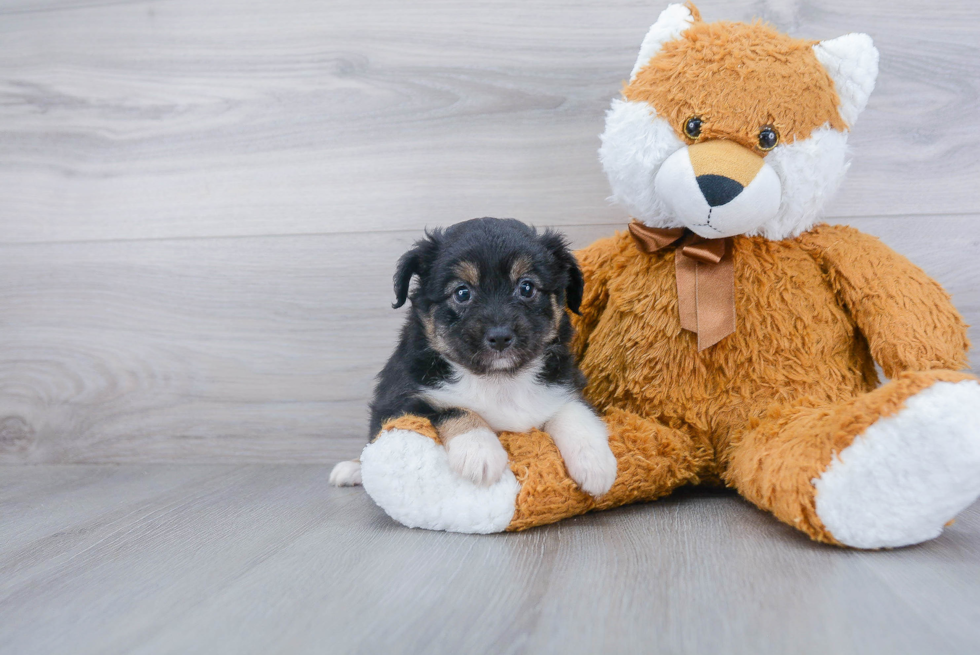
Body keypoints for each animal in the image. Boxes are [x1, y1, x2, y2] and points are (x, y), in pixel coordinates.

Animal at [334, 217, 616, 498]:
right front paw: (479, 452)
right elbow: (452, 409)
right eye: (462, 292)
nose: (500, 337)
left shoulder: (564, 385)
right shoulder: (399, 402)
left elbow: (574, 411)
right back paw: (351, 469)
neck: (499, 380)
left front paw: (596, 463)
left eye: (526, 287)